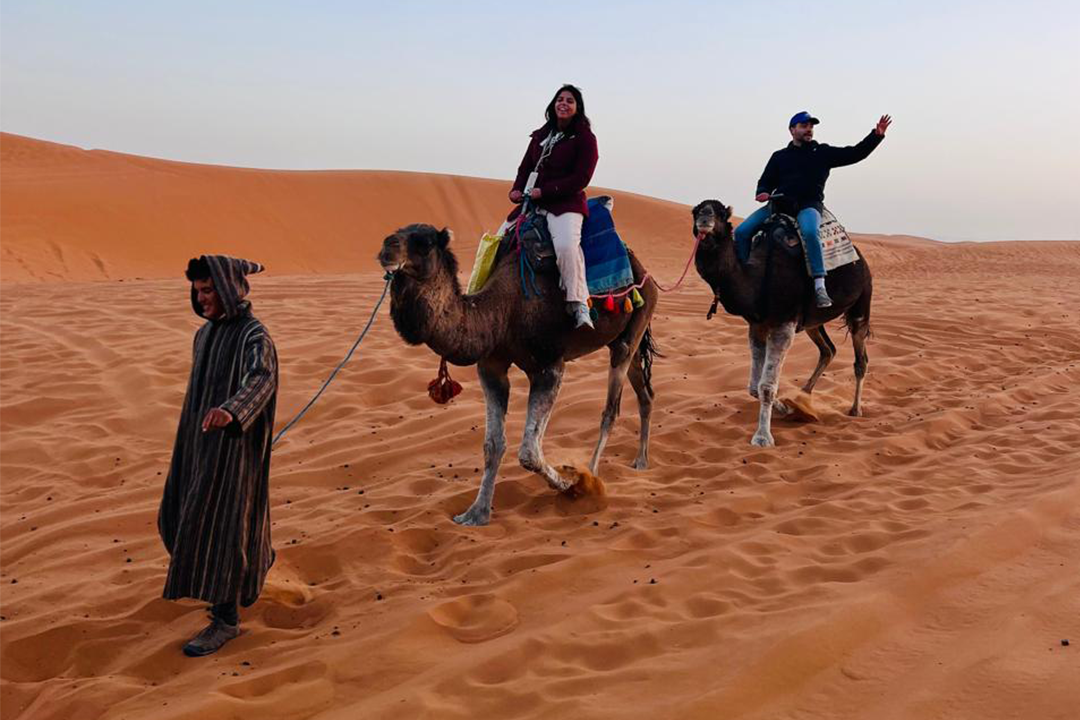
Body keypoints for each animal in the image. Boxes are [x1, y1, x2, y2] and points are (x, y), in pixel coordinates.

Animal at [375, 222, 656, 526]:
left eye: (425, 243)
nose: (387, 247)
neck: (502, 312)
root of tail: (645, 271)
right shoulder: (491, 366)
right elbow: (492, 445)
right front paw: (476, 513)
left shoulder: (549, 367)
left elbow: (530, 452)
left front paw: (573, 483)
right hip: (624, 339)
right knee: (645, 394)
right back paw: (641, 461)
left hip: (637, 321)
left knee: (611, 409)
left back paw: (592, 474)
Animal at [691, 198, 876, 444]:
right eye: (695, 211)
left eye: (721, 214)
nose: (704, 218)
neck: (758, 279)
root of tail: (860, 259)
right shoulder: (757, 325)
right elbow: (753, 386)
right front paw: (788, 409)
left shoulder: (783, 323)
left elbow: (766, 386)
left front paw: (763, 437)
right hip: (813, 322)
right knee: (828, 350)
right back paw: (803, 399)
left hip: (861, 303)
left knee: (860, 359)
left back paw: (855, 409)